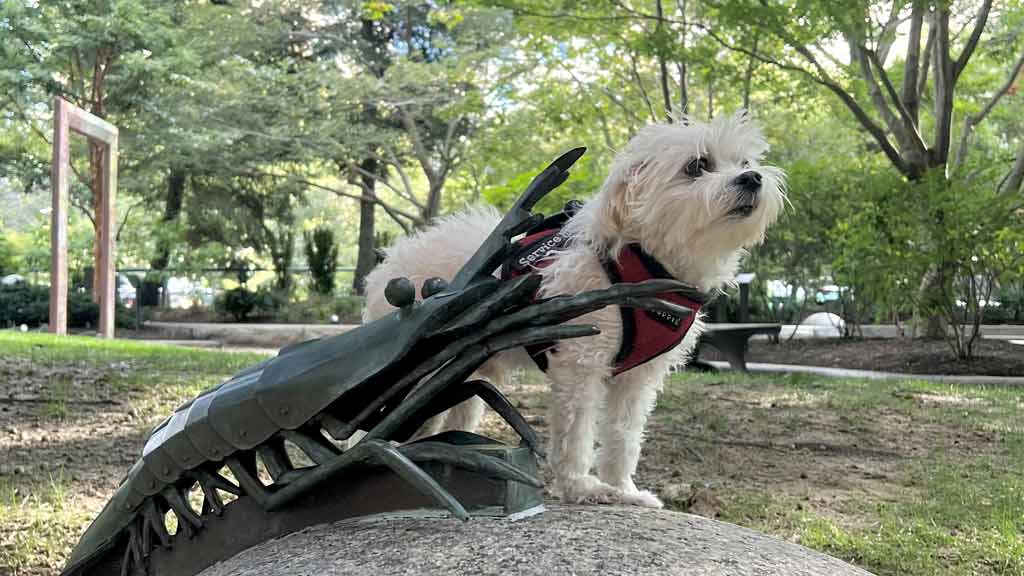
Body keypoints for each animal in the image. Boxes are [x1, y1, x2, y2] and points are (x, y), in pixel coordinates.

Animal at [364, 112, 786, 506]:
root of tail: (394, 257)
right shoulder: (581, 364)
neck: (646, 265)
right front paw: (582, 486)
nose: (752, 178)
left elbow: (623, 436)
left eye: (745, 161)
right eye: (698, 165)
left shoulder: (636, 381)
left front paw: (623, 489)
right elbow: (576, 432)